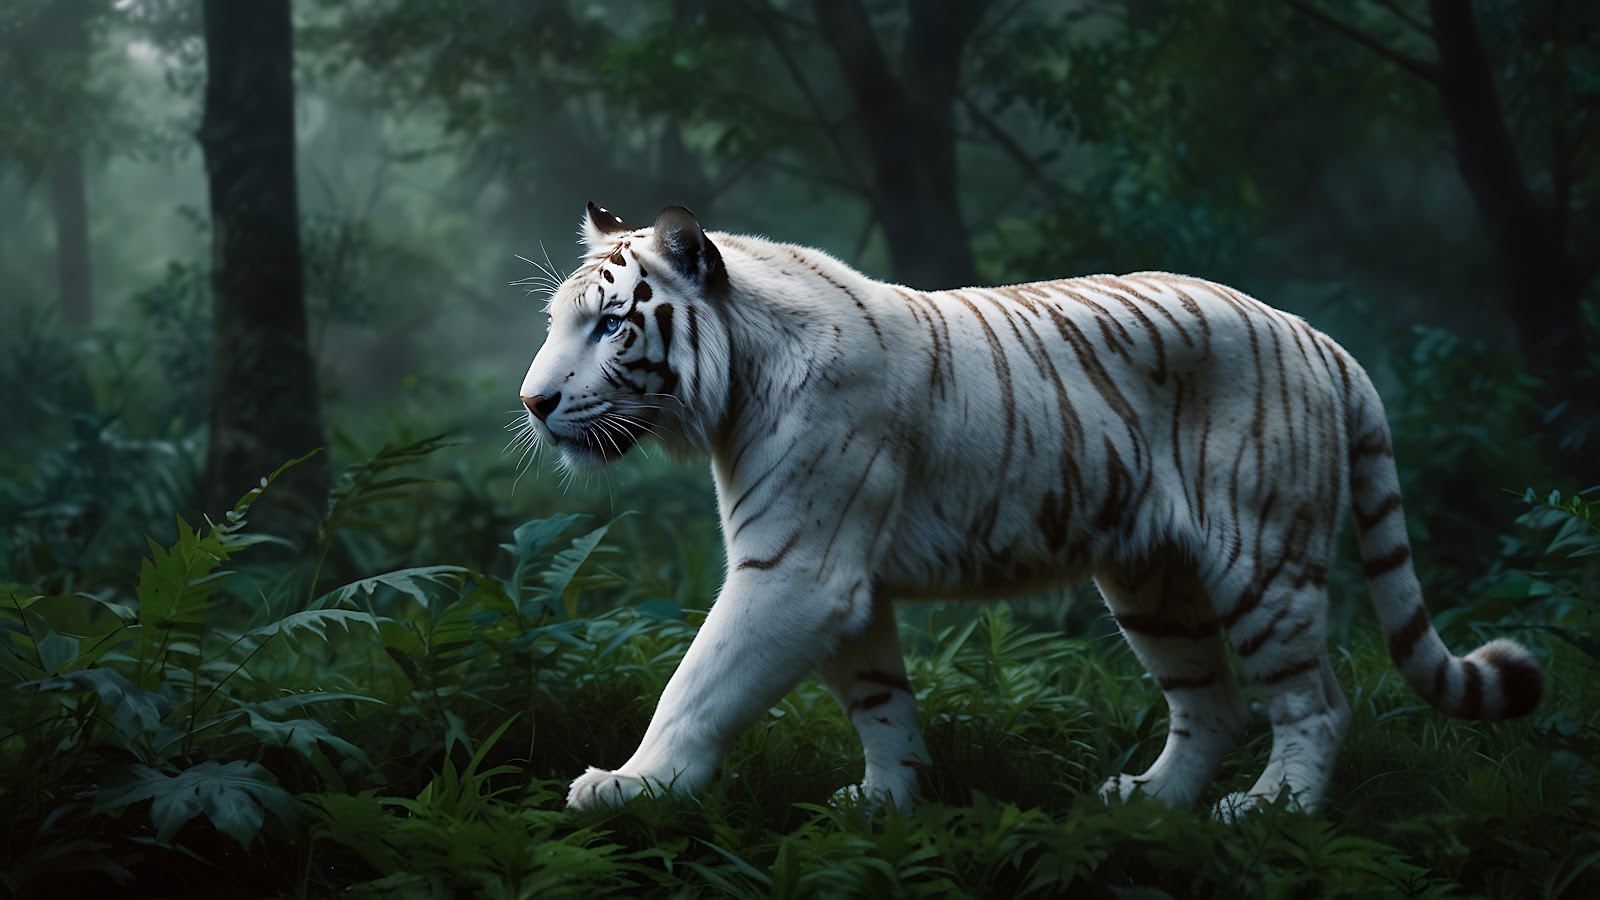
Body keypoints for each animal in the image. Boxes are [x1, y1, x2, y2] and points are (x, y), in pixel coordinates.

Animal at [518, 202, 1543, 818]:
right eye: (558, 322)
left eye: (611, 324)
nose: (532, 402)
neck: (734, 382)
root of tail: (1319, 338)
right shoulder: (839, 576)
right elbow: (878, 697)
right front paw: (890, 800)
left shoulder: (797, 568)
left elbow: (698, 682)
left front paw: (632, 785)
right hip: (1150, 582)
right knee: (1213, 706)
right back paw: (1148, 801)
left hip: (1263, 561)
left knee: (1315, 702)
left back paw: (1267, 810)